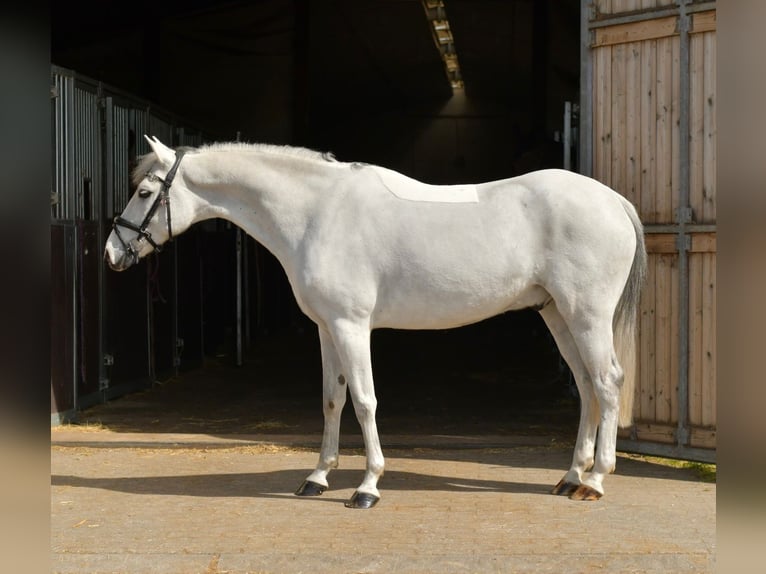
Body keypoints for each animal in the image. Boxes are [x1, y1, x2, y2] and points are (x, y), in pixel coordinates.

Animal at [105, 136, 646, 509]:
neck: (317, 213)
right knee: (587, 387)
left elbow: (365, 402)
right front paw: (317, 479)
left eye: (145, 192)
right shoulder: (326, 329)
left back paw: (595, 481)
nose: (112, 253)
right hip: (558, 314)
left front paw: (367, 487)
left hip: (586, 315)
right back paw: (570, 478)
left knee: (607, 383)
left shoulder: (351, 326)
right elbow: (332, 401)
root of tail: (615, 201)